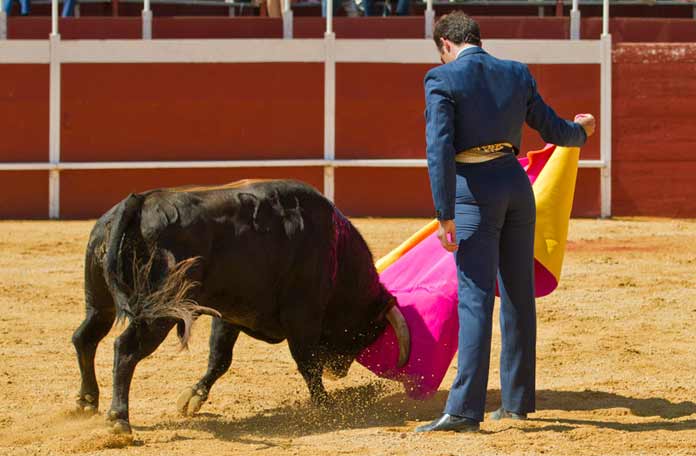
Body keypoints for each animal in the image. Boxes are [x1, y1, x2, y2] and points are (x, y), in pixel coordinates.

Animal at [70, 179, 408, 434]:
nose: (339, 371)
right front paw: (325, 404)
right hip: (159, 313)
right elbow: (306, 362)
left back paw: (87, 401)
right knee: (125, 349)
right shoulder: (303, 316)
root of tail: (139, 202)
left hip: (99, 301)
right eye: (361, 333)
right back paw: (119, 419)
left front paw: (193, 397)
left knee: (85, 337)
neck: (336, 253)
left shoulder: (230, 314)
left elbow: (220, 359)